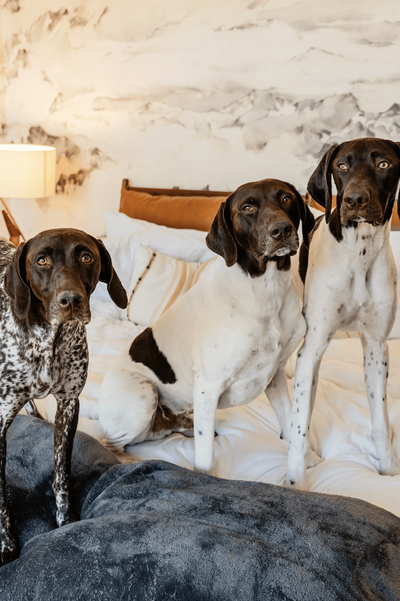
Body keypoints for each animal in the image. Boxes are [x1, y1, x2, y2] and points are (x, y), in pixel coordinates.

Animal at [0, 229, 126, 564]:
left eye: (86, 257)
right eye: (41, 260)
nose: (70, 300)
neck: (47, 341)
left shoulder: (69, 405)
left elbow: (61, 475)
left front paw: (64, 521)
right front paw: (6, 546)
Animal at [99, 177, 316, 474]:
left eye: (286, 199)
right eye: (247, 207)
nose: (282, 229)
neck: (263, 291)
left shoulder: (275, 377)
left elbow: (290, 425)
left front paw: (305, 459)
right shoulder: (207, 388)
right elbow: (204, 458)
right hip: (142, 395)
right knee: (111, 443)